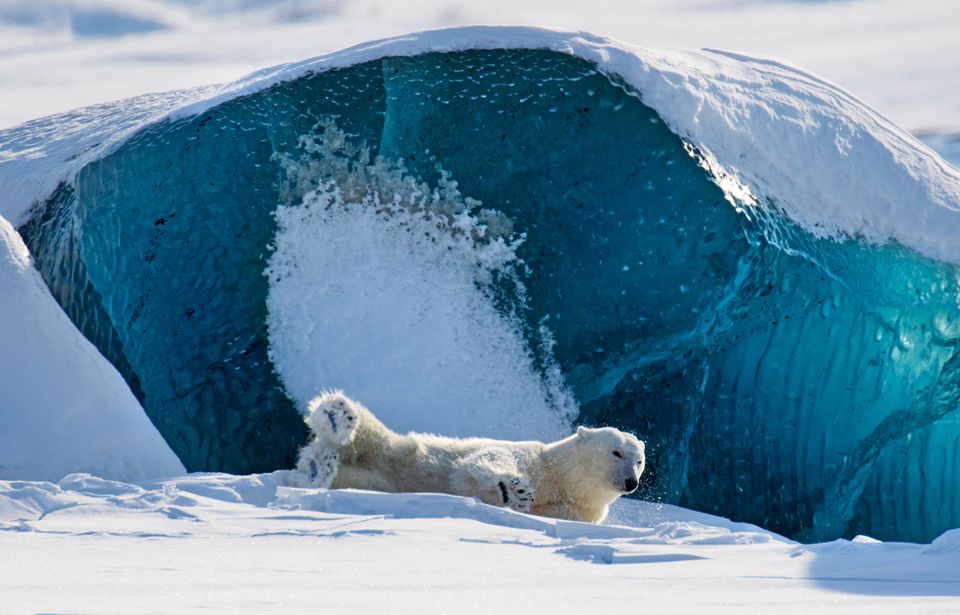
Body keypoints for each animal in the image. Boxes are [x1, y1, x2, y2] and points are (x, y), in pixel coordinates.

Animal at [286, 392, 644, 524]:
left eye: (639, 459)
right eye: (616, 451)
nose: (631, 482)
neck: (563, 478)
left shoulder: (581, 510)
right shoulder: (531, 456)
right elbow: (487, 459)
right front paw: (515, 491)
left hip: (378, 478)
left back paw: (318, 467)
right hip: (398, 451)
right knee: (371, 434)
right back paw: (338, 417)